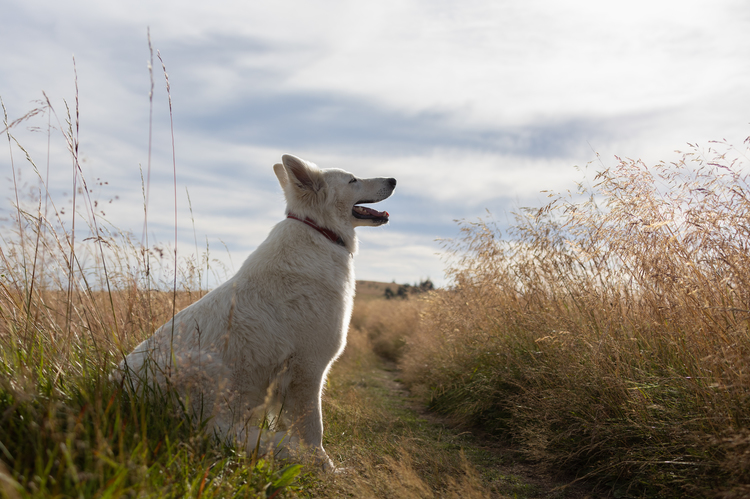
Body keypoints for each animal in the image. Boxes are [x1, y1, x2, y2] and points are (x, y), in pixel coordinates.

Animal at [114, 155, 396, 468]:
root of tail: (119, 393)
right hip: (210, 369)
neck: (319, 230)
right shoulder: (308, 368)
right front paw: (324, 466)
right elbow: (314, 428)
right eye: (353, 180)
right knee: (222, 434)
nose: (394, 180)